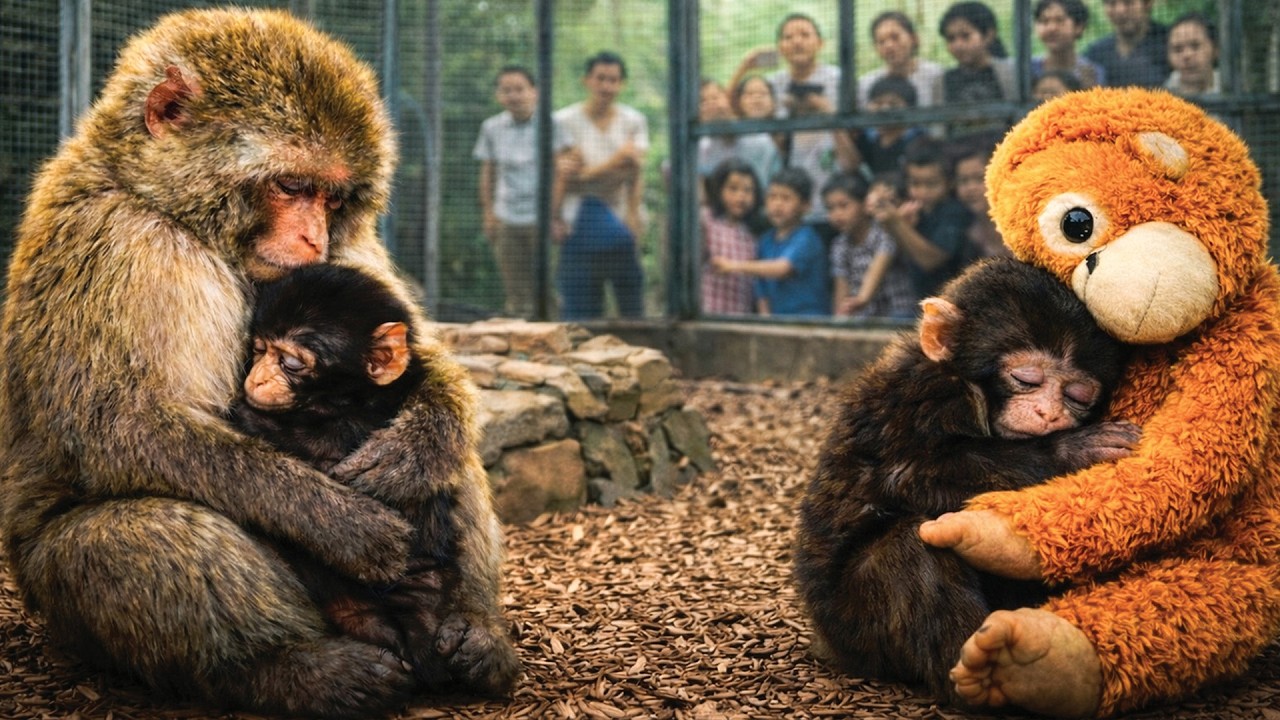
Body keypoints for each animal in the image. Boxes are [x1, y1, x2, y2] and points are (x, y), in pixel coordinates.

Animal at [0, 9, 518, 719]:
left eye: (333, 199)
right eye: (292, 186)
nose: (313, 238)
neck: (169, 209)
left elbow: (413, 356)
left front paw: (420, 440)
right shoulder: (118, 243)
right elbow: (119, 428)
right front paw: (345, 526)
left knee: (454, 464)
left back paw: (474, 629)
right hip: (50, 589)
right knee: (139, 531)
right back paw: (292, 669)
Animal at [792, 256, 1138, 704]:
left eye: (1077, 395)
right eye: (1026, 379)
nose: (1048, 413)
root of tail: (826, 645)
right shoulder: (934, 394)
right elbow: (909, 474)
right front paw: (1070, 449)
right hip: (851, 628)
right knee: (907, 547)